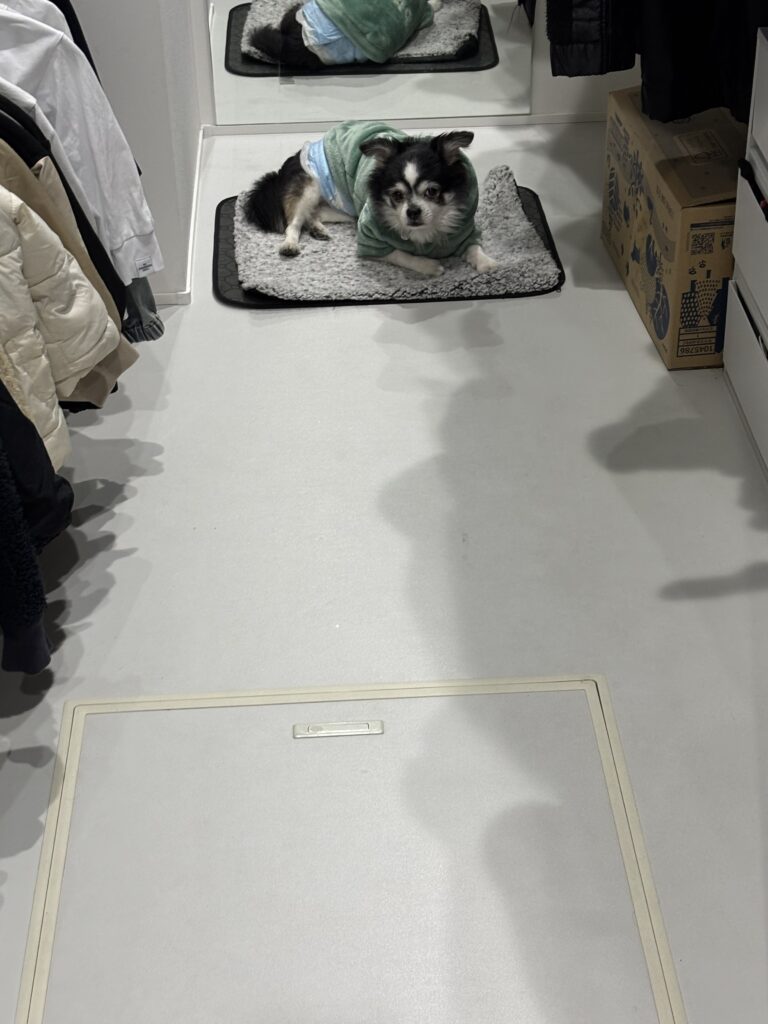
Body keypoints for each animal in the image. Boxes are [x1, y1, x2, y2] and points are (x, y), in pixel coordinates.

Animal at [242, 122, 497, 277]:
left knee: (315, 213)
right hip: (310, 187)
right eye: (396, 195)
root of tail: (292, 158)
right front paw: (428, 265)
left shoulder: (464, 232)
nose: (412, 211)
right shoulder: (370, 241)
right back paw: (290, 244)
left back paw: (318, 229)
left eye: (432, 192)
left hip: (347, 207)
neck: (427, 230)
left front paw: (487, 263)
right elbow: (402, 255)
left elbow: (474, 247)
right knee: (294, 221)